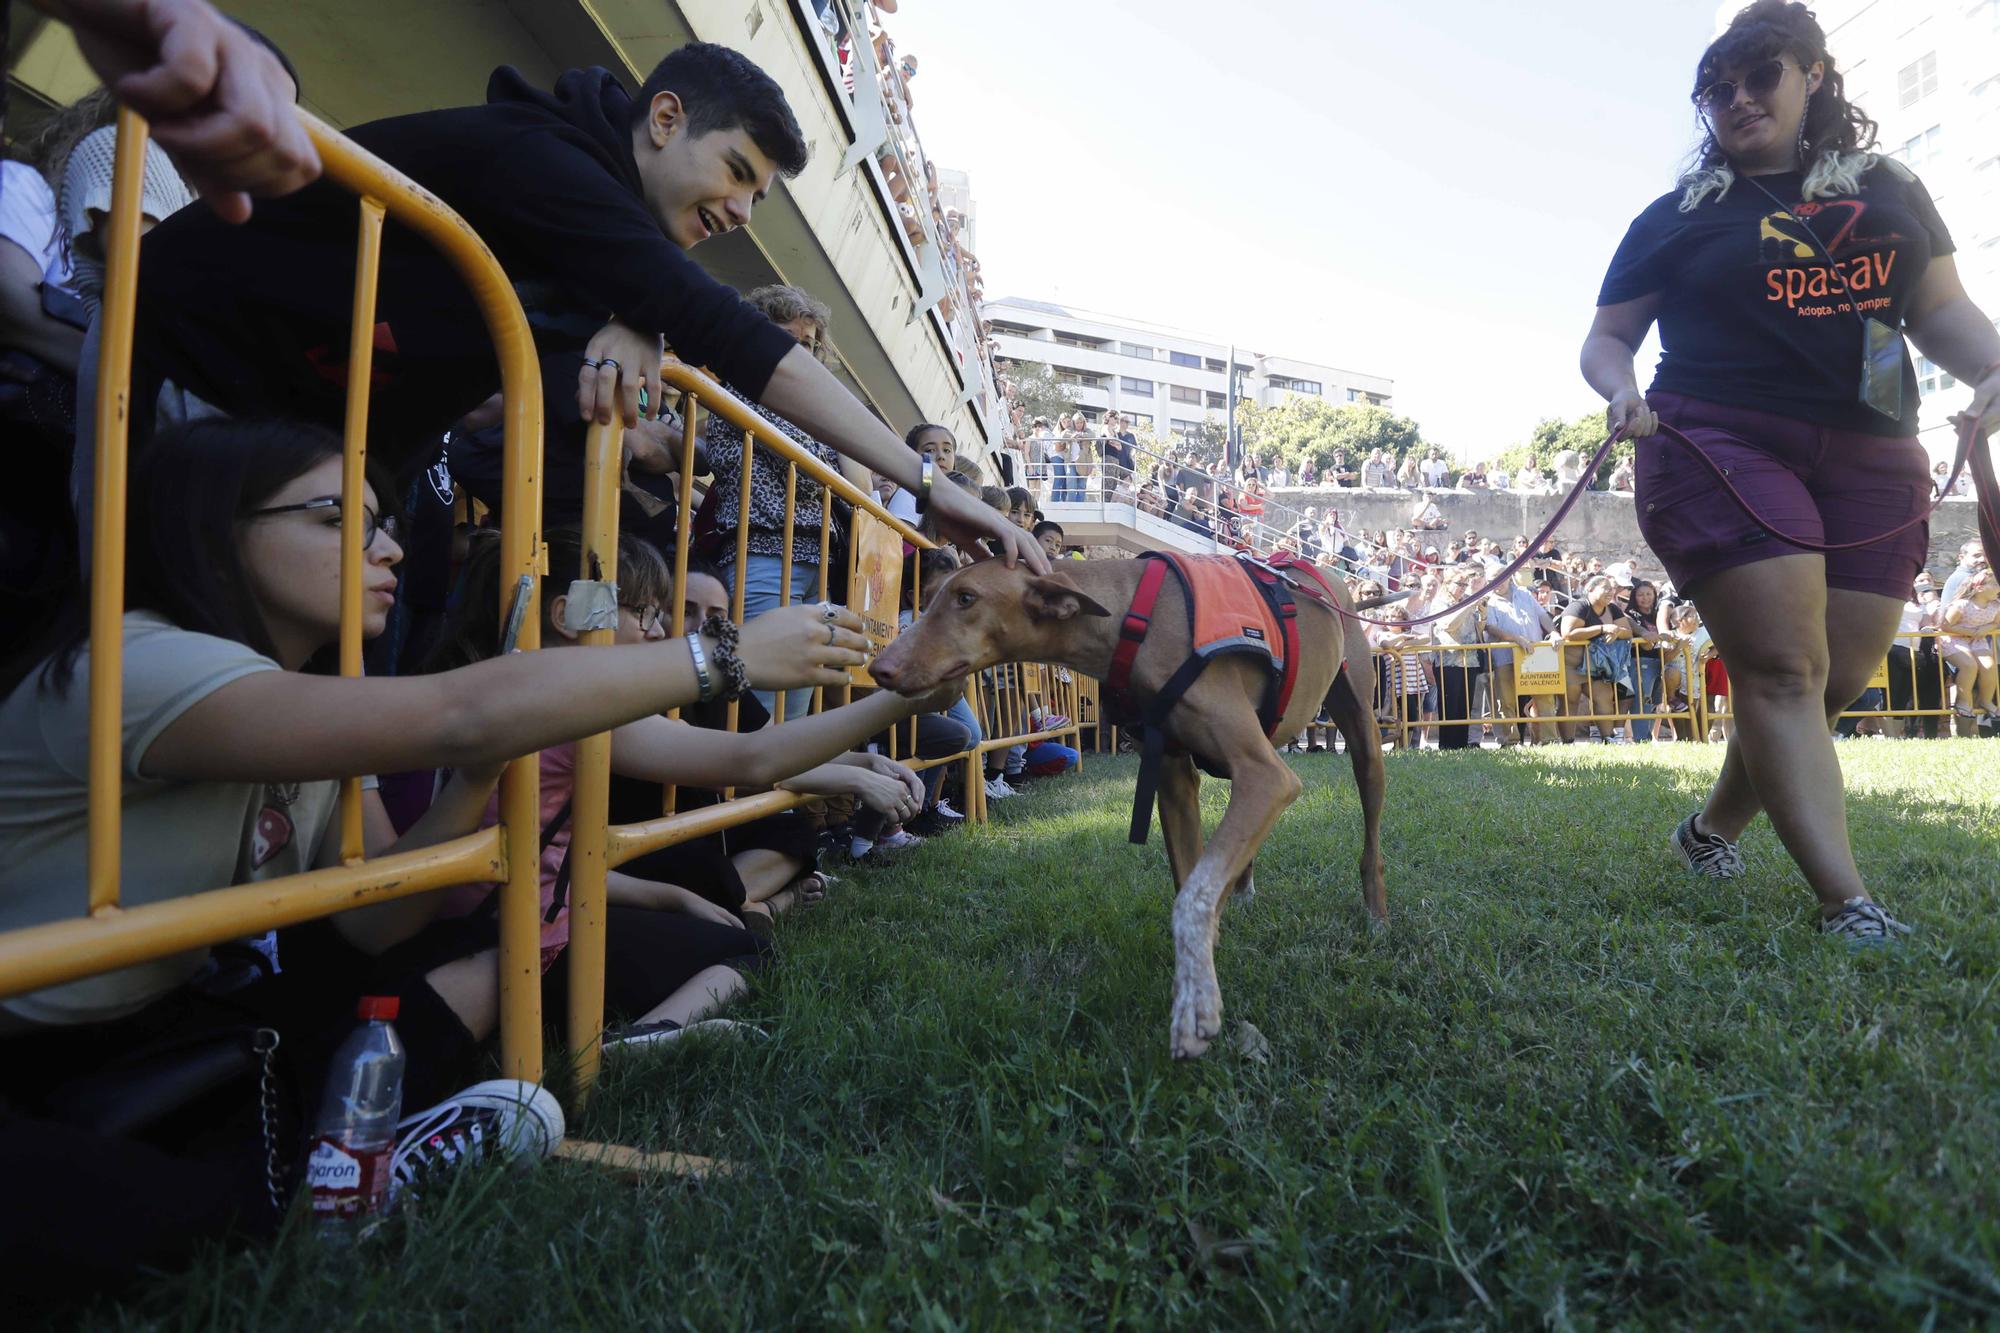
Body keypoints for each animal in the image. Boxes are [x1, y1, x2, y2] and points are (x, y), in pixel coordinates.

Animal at [876, 556, 1392, 1056]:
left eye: (966, 598)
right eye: (929, 596)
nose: (880, 666)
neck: (1134, 618)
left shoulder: (1267, 777)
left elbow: (1194, 898)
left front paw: (1195, 1005)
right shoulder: (1175, 778)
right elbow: (1190, 885)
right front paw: (1199, 975)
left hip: (1361, 736)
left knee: (1371, 838)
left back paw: (1376, 914)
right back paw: (1243, 888)